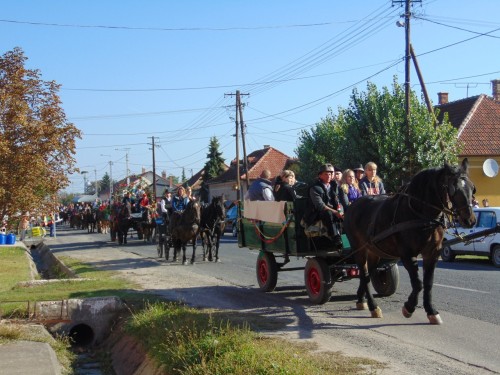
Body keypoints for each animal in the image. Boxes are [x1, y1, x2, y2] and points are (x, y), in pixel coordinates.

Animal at [344, 158, 476, 324]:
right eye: (453, 189)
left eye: (472, 188)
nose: (469, 220)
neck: (421, 215)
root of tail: (353, 205)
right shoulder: (407, 254)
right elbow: (418, 284)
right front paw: (409, 307)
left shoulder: (432, 253)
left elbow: (428, 283)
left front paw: (431, 311)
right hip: (359, 248)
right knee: (363, 272)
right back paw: (373, 306)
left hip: (374, 251)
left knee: (367, 274)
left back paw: (361, 300)